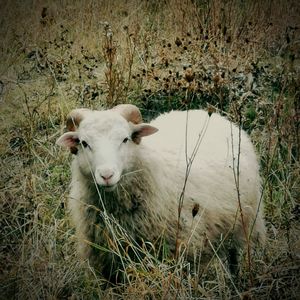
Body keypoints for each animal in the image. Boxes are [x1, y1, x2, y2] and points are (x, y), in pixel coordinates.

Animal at [56, 104, 264, 280]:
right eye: (84, 143)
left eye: (125, 139)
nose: (107, 175)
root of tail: (206, 113)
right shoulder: (107, 263)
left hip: (246, 225)